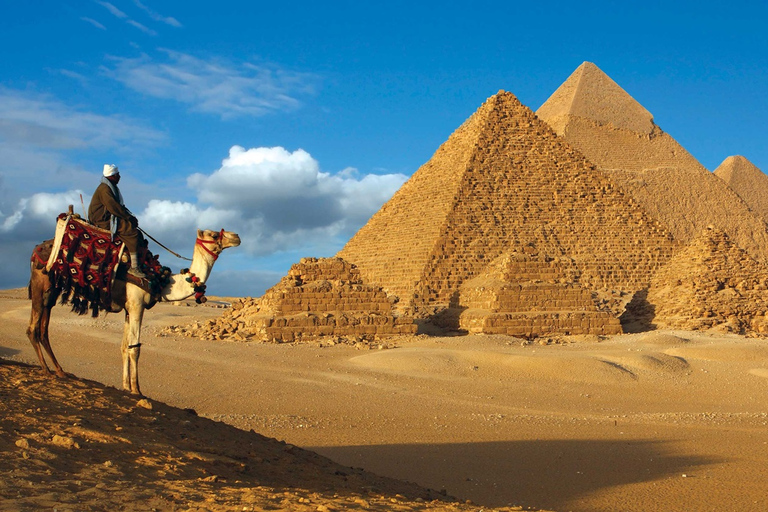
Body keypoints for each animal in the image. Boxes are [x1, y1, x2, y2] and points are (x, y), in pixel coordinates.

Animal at [28, 228, 240, 396]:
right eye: (214, 234)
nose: (236, 237)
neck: (161, 281)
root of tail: (37, 249)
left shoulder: (128, 308)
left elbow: (124, 346)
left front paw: (125, 386)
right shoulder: (137, 304)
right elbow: (135, 348)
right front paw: (137, 390)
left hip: (52, 288)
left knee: (43, 328)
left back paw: (59, 370)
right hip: (41, 283)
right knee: (33, 329)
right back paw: (46, 369)